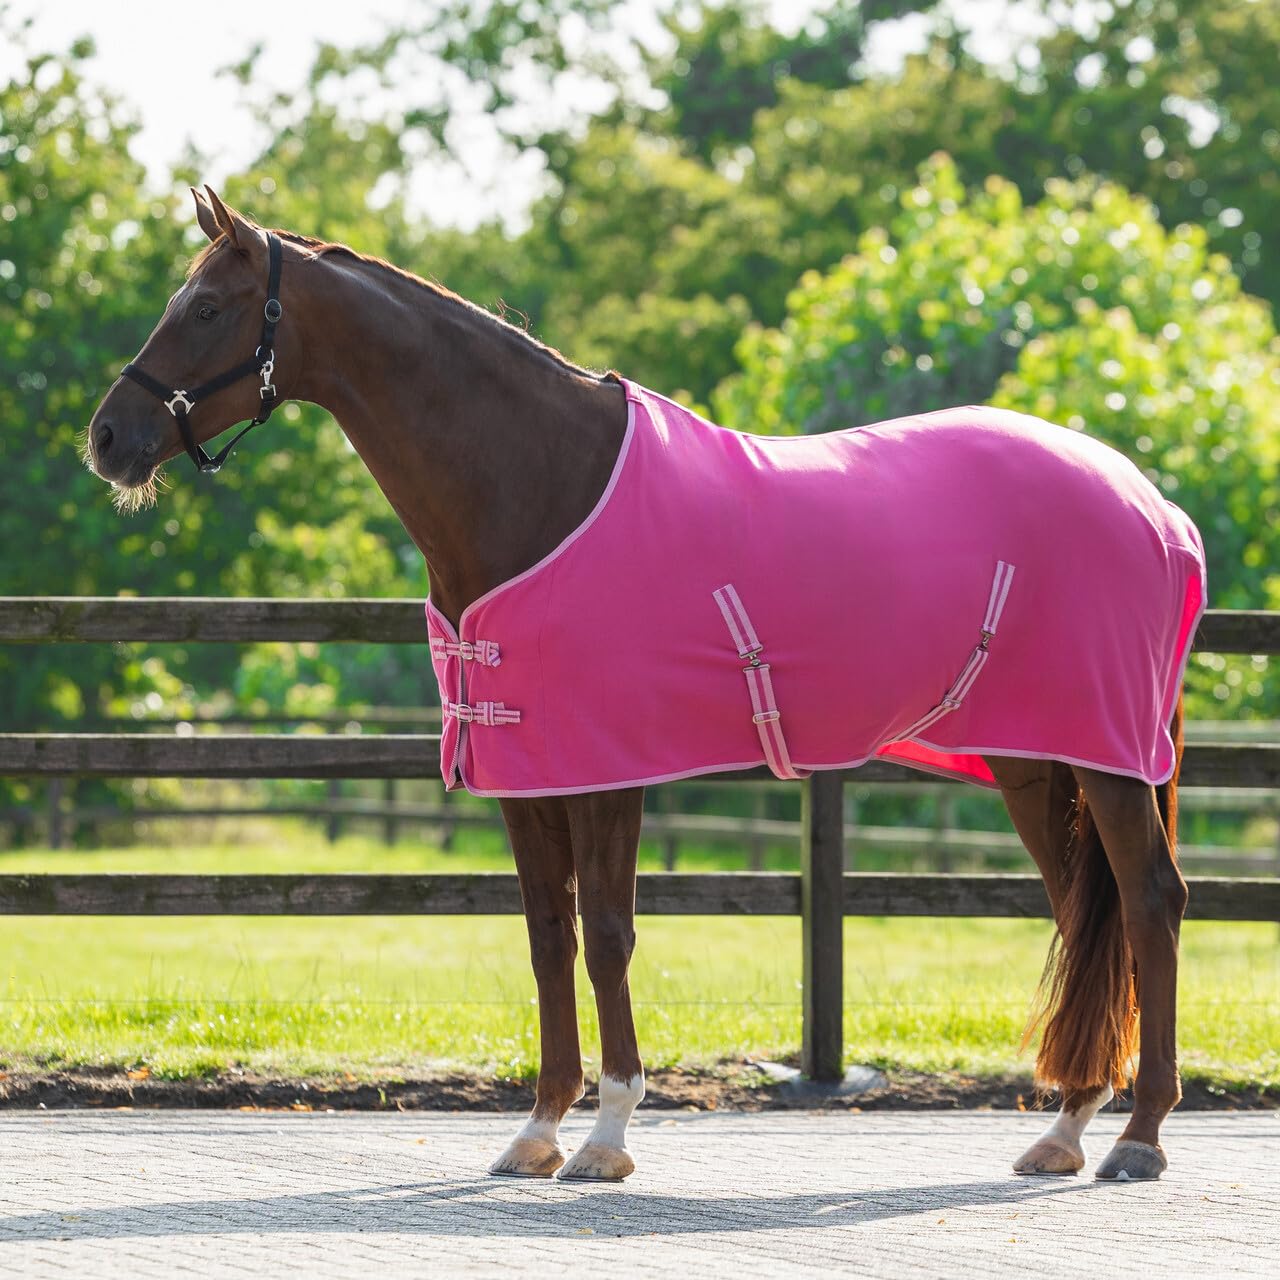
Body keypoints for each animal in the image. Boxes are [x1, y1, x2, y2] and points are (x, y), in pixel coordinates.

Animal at [86, 186, 1203, 1184]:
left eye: (208, 307)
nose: (107, 438)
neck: (541, 483)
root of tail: (1154, 505)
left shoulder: (607, 772)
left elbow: (609, 939)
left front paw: (608, 1134)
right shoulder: (526, 775)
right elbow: (548, 940)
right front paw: (537, 1130)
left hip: (1107, 757)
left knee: (1149, 899)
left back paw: (1139, 1136)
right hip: (1034, 758)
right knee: (1083, 908)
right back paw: (1064, 1128)